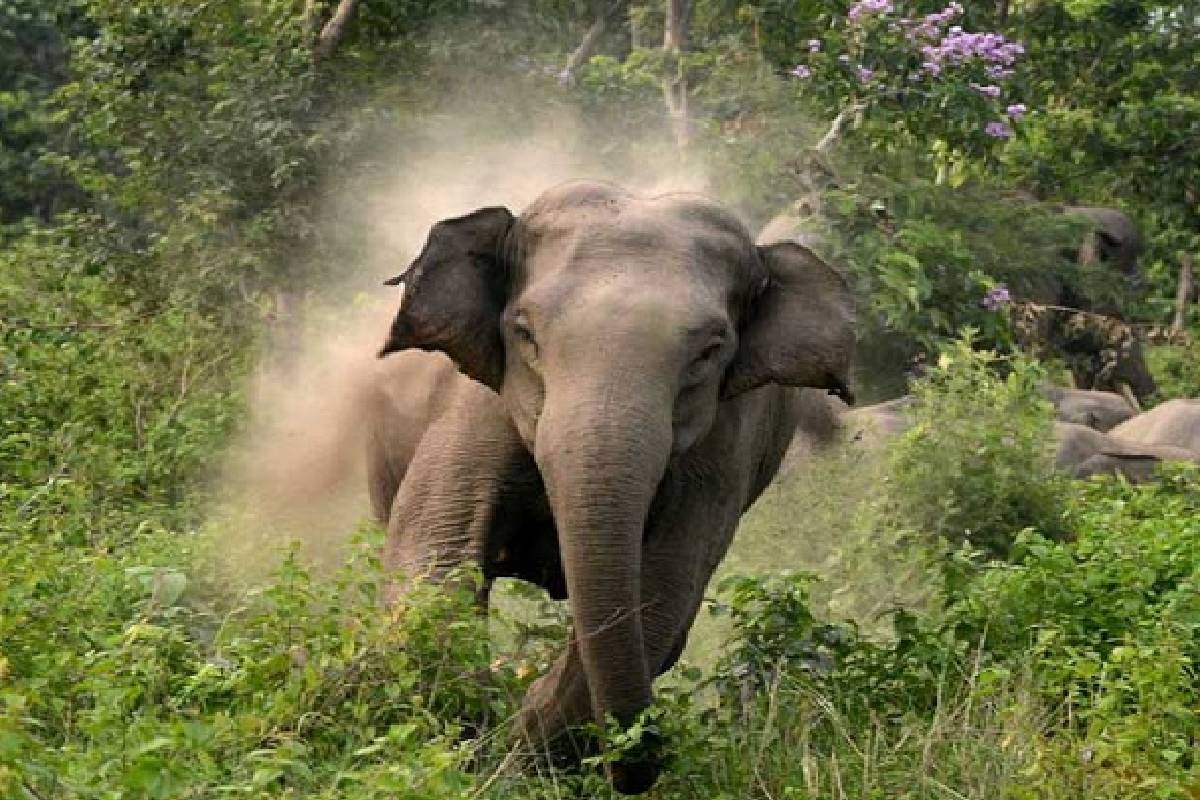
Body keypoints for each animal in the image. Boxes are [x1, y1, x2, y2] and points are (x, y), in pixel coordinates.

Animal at [369, 180, 855, 794]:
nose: (642, 768)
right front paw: (471, 740)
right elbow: (435, 553)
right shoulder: (475, 405)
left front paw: (521, 752)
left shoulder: (722, 450)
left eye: (709, 350)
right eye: (524, 333)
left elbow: (662, 595)